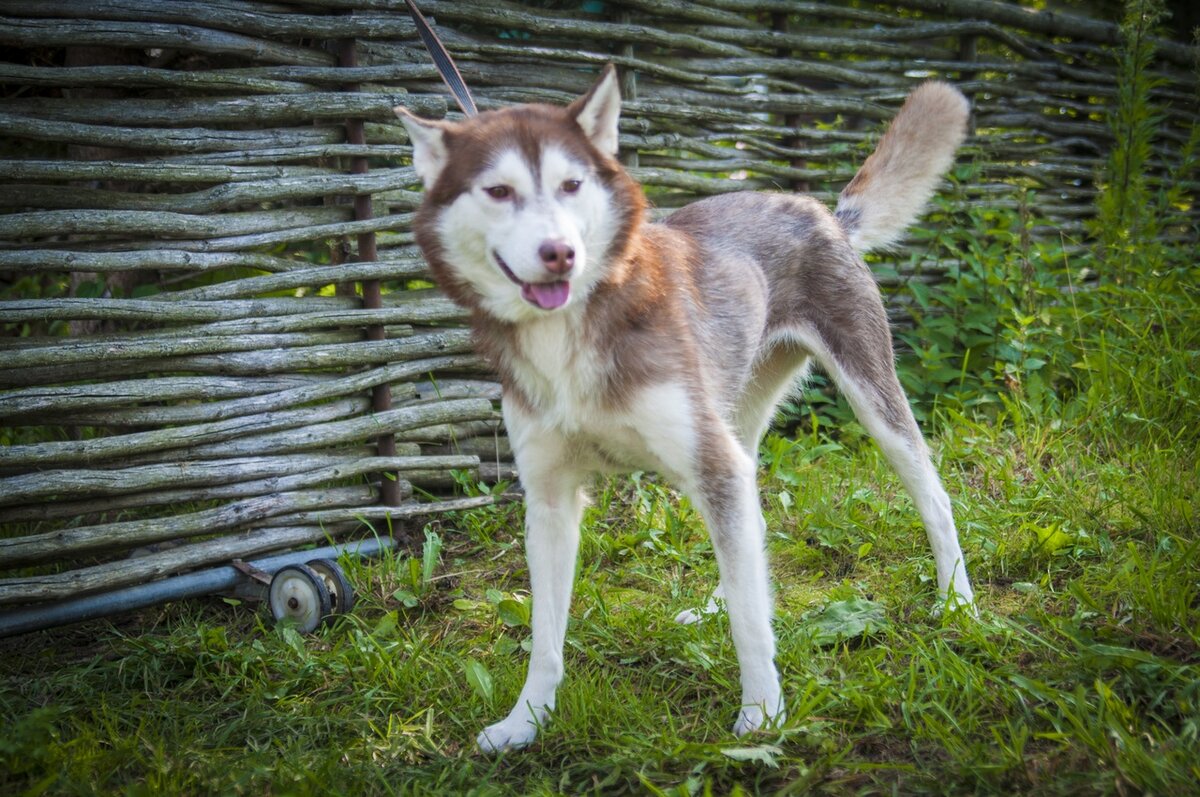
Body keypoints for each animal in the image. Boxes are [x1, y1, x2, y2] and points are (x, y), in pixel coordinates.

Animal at [396, 65, 974, 748]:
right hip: (735, 418)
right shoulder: (549, 497)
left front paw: (762, 715)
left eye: (571, 184)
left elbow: (751, 627)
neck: (573, 328)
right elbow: (544, 637)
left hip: (867, 396)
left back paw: (959, 603)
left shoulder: (713, 466)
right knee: (749, 539)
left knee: (932, 498)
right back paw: (719, 601)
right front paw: (525, 721)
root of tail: (823, 212)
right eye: (498, 191)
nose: (559, 253)